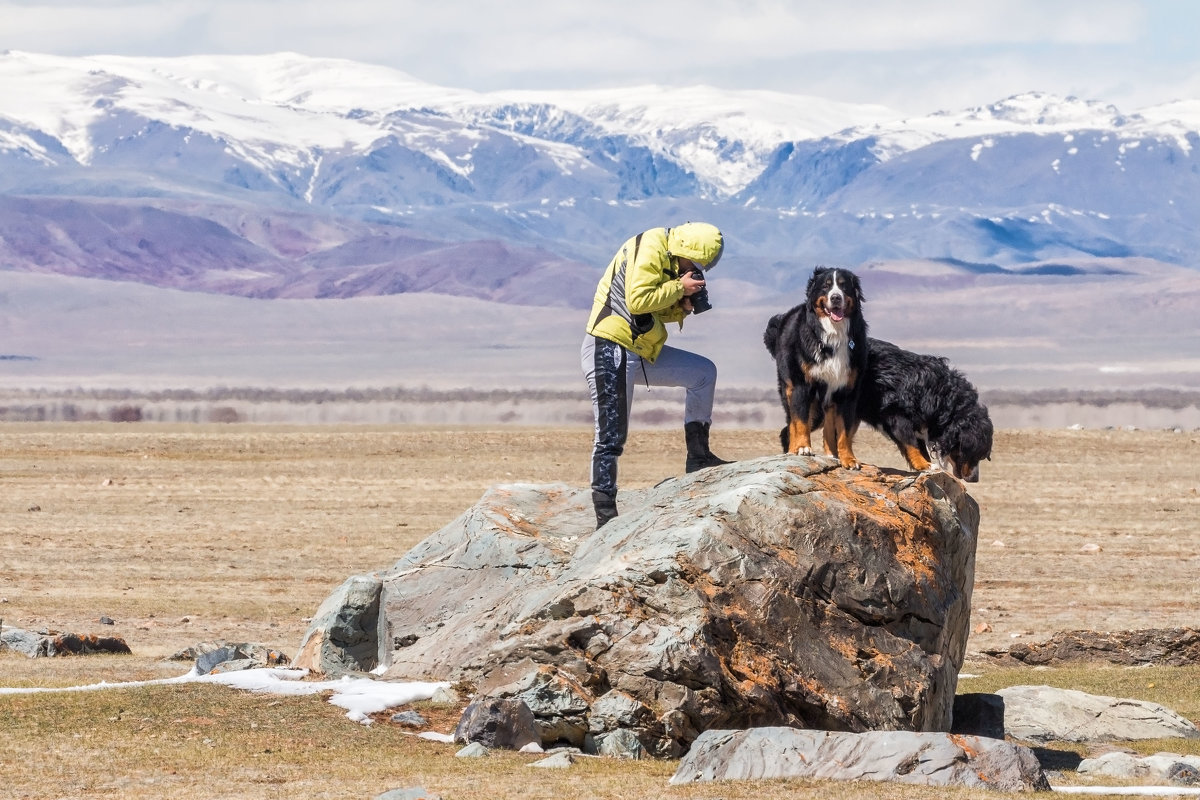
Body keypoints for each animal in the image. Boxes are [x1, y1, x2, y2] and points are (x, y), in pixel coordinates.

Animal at [763, 267, 868, 470]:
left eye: (843, 285)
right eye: (825, 286)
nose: (835, 297)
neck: (834, 333)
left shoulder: (847, 391)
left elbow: (844, 431)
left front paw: (849, 459)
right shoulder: (802, 385)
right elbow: (801, 422)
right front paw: (803, 448)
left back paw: (831, 454)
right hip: (791, 390)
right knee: (790, 426)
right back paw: (793, 449)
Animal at [864, 338, 993, 482]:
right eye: (975, 456)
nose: (975, 479)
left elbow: (920, 447)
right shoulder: (896, 414)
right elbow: (910, 443)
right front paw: (925, 465)